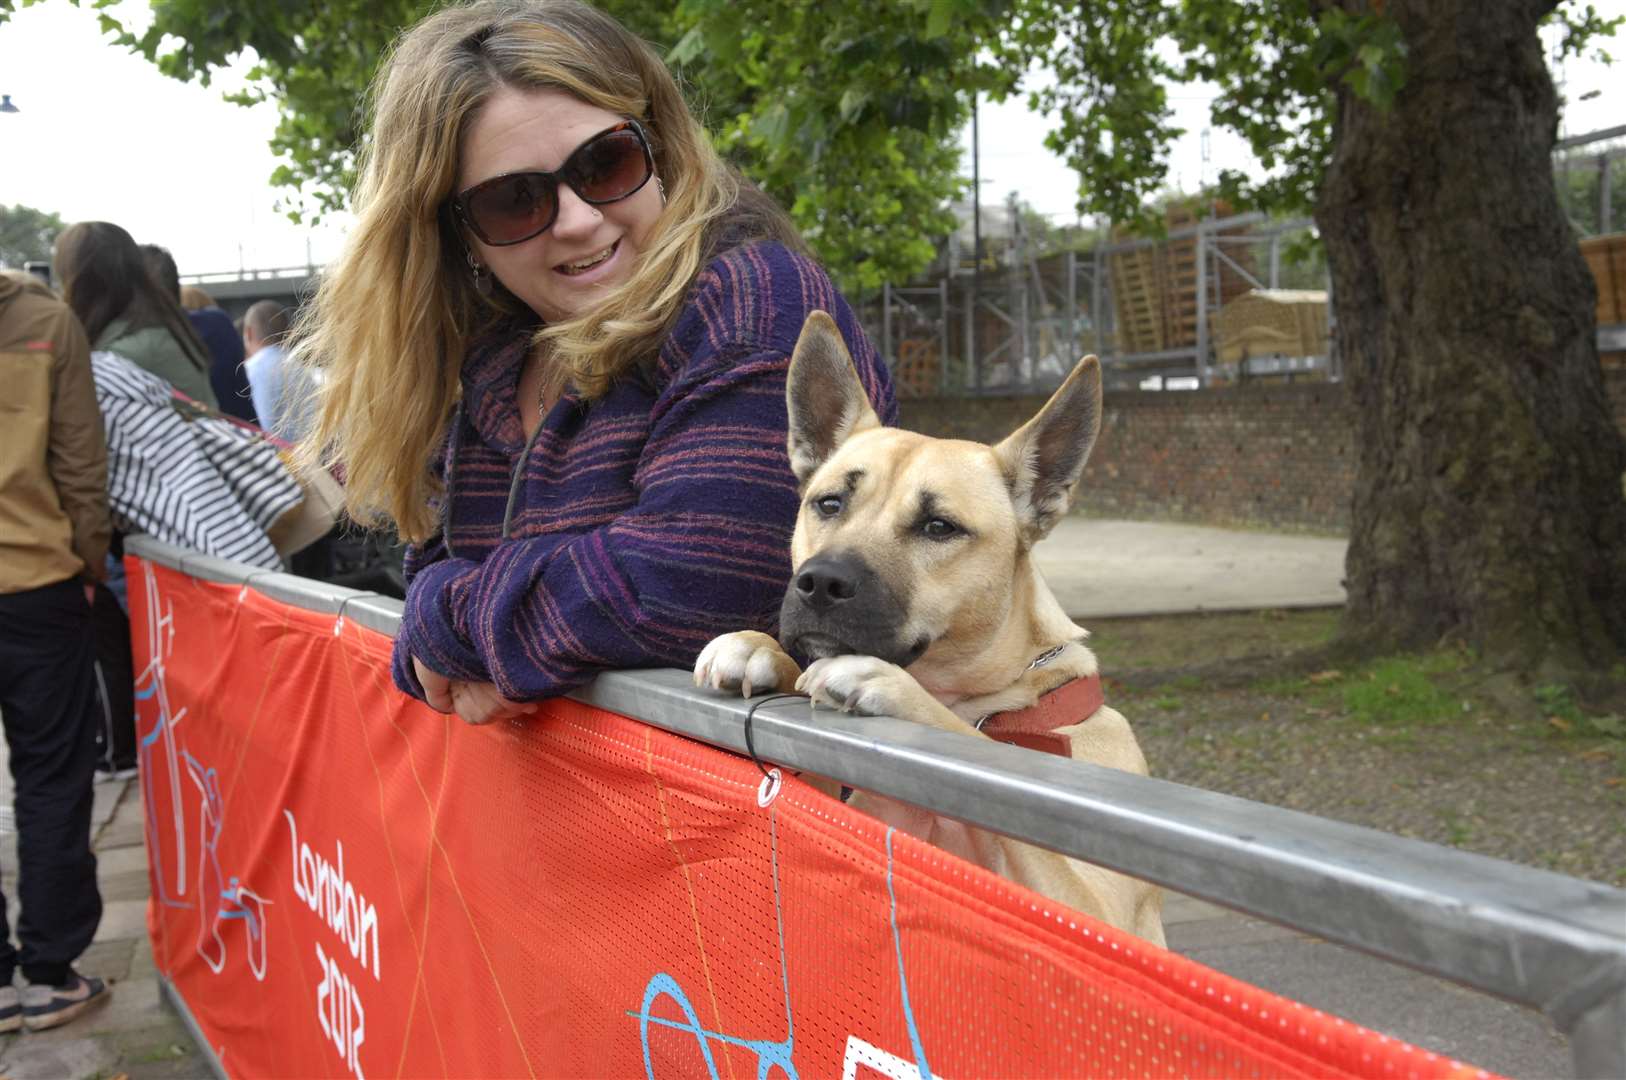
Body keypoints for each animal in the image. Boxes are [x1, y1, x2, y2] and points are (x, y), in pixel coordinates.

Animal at [692, 312, 1164, 943]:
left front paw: (888, 685)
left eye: (939, 526)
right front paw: (758, 648)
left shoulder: (1093, 921)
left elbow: (970, 746)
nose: (820, 583)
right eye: (828, 503)